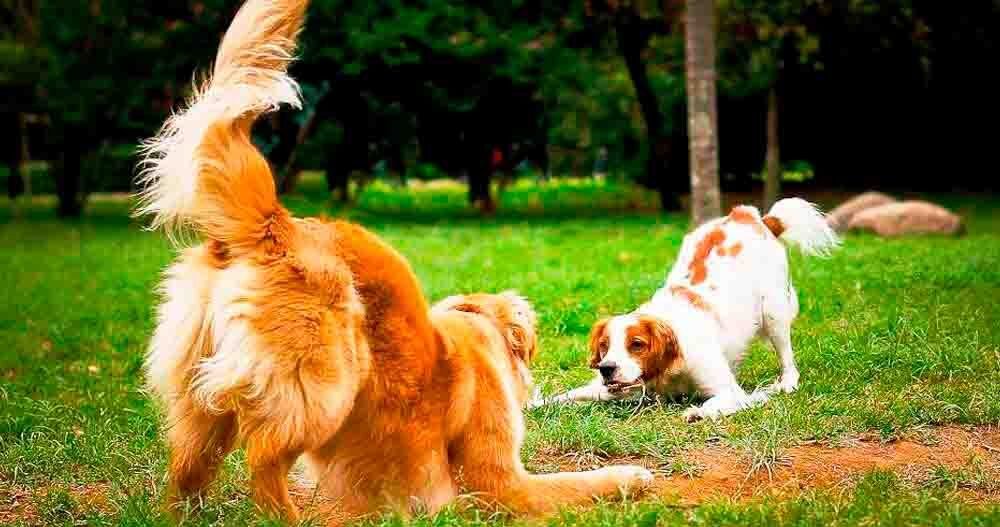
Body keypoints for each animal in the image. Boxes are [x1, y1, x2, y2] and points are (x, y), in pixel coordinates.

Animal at [139, 0, 656, 520]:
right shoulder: (500, 482)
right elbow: (581, 482)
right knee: (263, 459)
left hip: (201, 406)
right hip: (324, 387)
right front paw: (630, 476)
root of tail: (275, 223)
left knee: (187, 470)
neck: (478, 330)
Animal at [540, 200, 836, 422]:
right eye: (604, 346)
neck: (669, 364)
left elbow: (717, 403)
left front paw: (698, 412)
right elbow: (567, 395)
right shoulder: (615, 389)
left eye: (637, 344)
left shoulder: (730, 392)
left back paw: (787, 383)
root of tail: (749, 215)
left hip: (773, 313)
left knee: (787, 358)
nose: (606, 368)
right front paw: (538, 402)